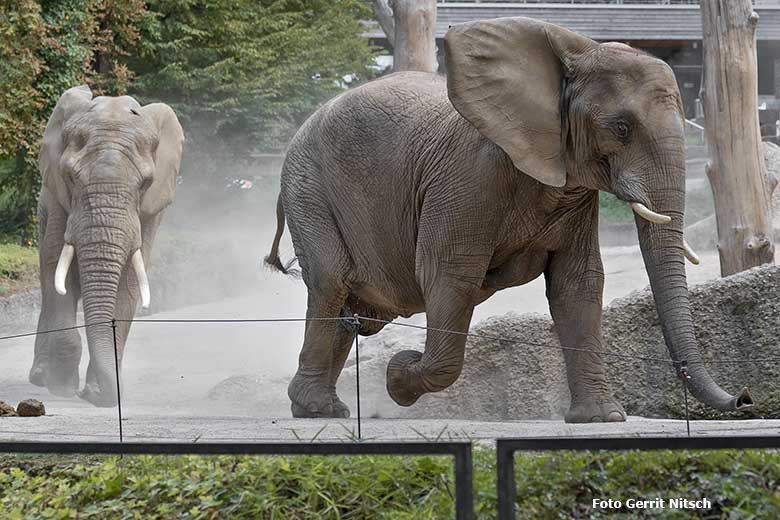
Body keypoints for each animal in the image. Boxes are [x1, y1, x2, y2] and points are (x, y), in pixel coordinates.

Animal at [32, 85, 184, 406]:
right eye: (70, 177)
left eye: (146, 183)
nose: (89, 395)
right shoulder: (59, 199)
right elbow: (55, 268)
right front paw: (62, 388)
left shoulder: (150, 212)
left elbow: (130, 280)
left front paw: (95, 392)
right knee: (48, 282)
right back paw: (40, 376)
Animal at [266, 17, 752, 422]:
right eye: (621, 128)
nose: (744, 399)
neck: (573, 58)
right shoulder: (467, 177)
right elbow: (450, 273)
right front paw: (399, 375)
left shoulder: (574, 191)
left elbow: (578, 283)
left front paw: (601, 419)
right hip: (307, 187)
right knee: (331, 281)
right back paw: (316, 410)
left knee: (348, 303)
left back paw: (323, 408)